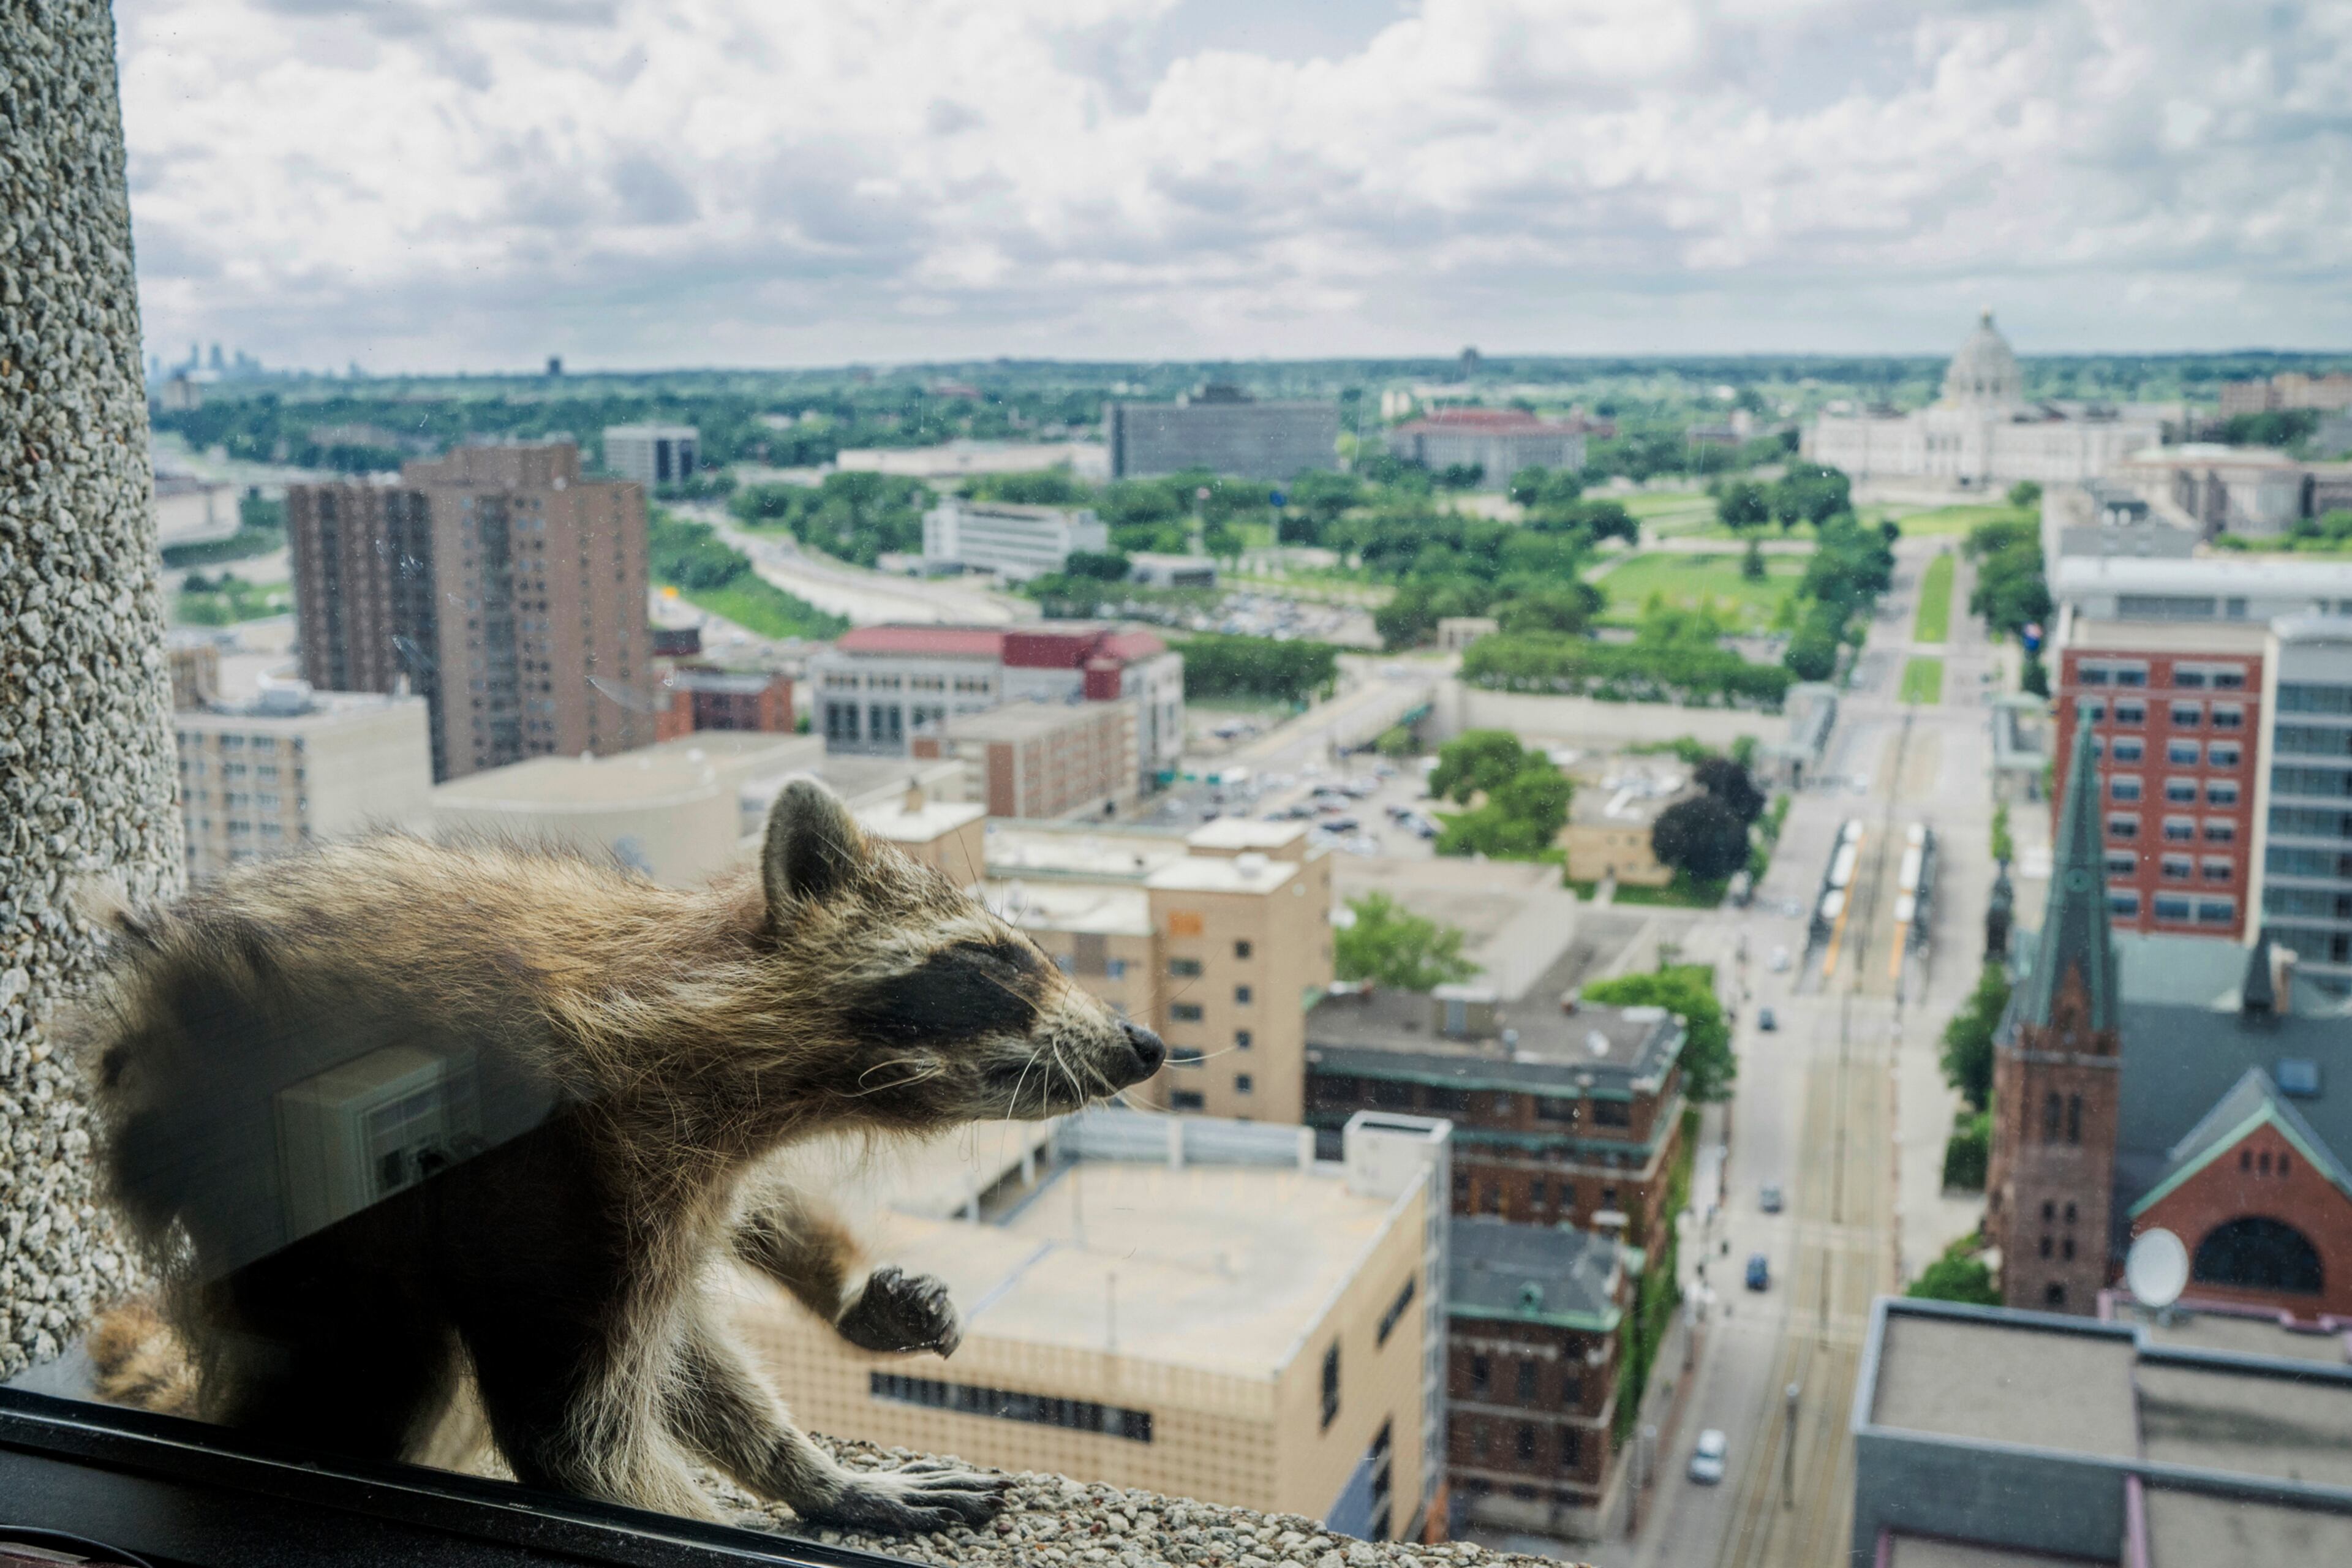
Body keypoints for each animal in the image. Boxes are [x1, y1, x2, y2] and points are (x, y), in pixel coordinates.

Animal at [72, 778, 1166, 1532]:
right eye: (994, 958)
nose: (1144, 1045)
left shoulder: (690, 1167)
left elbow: (692, 1334)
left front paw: (810, 1457)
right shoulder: (563, 1157)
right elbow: (574, 1438)